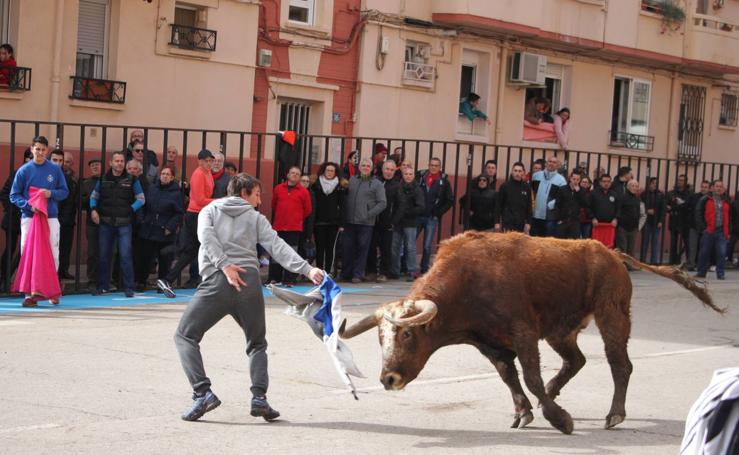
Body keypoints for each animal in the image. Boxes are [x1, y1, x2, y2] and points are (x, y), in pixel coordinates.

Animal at [340, 233, 724, 436]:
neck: (468, 282)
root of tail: (610, 252)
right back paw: (554, 397)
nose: (388, 378)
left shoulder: (523, 334)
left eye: (406, 335)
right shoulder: (490, 344)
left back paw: (614, 415)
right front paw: (525, 412)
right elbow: (510, 377)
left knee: (620, 364)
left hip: (611, 315)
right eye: (380, 338)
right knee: (575, 361)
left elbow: (530, 376)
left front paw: (561, 419)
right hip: (561, 331)